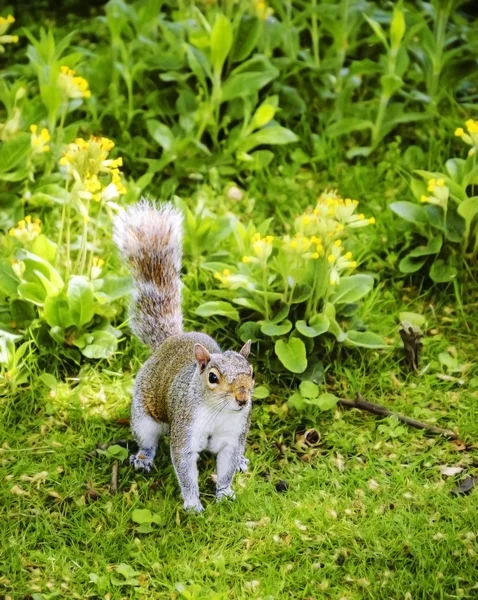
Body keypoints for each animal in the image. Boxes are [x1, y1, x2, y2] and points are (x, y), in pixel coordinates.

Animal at [114, 200, 254, 510]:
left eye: (252, 372)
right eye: (212, 377)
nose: (242, 398)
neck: (218, 412)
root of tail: (172, 341)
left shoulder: (233, 436)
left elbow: (226, 466)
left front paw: (224, 493)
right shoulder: (185, 432)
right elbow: (185, 467)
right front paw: (192, 504)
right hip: (144, 416)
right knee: (148, 440)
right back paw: (143, 458)